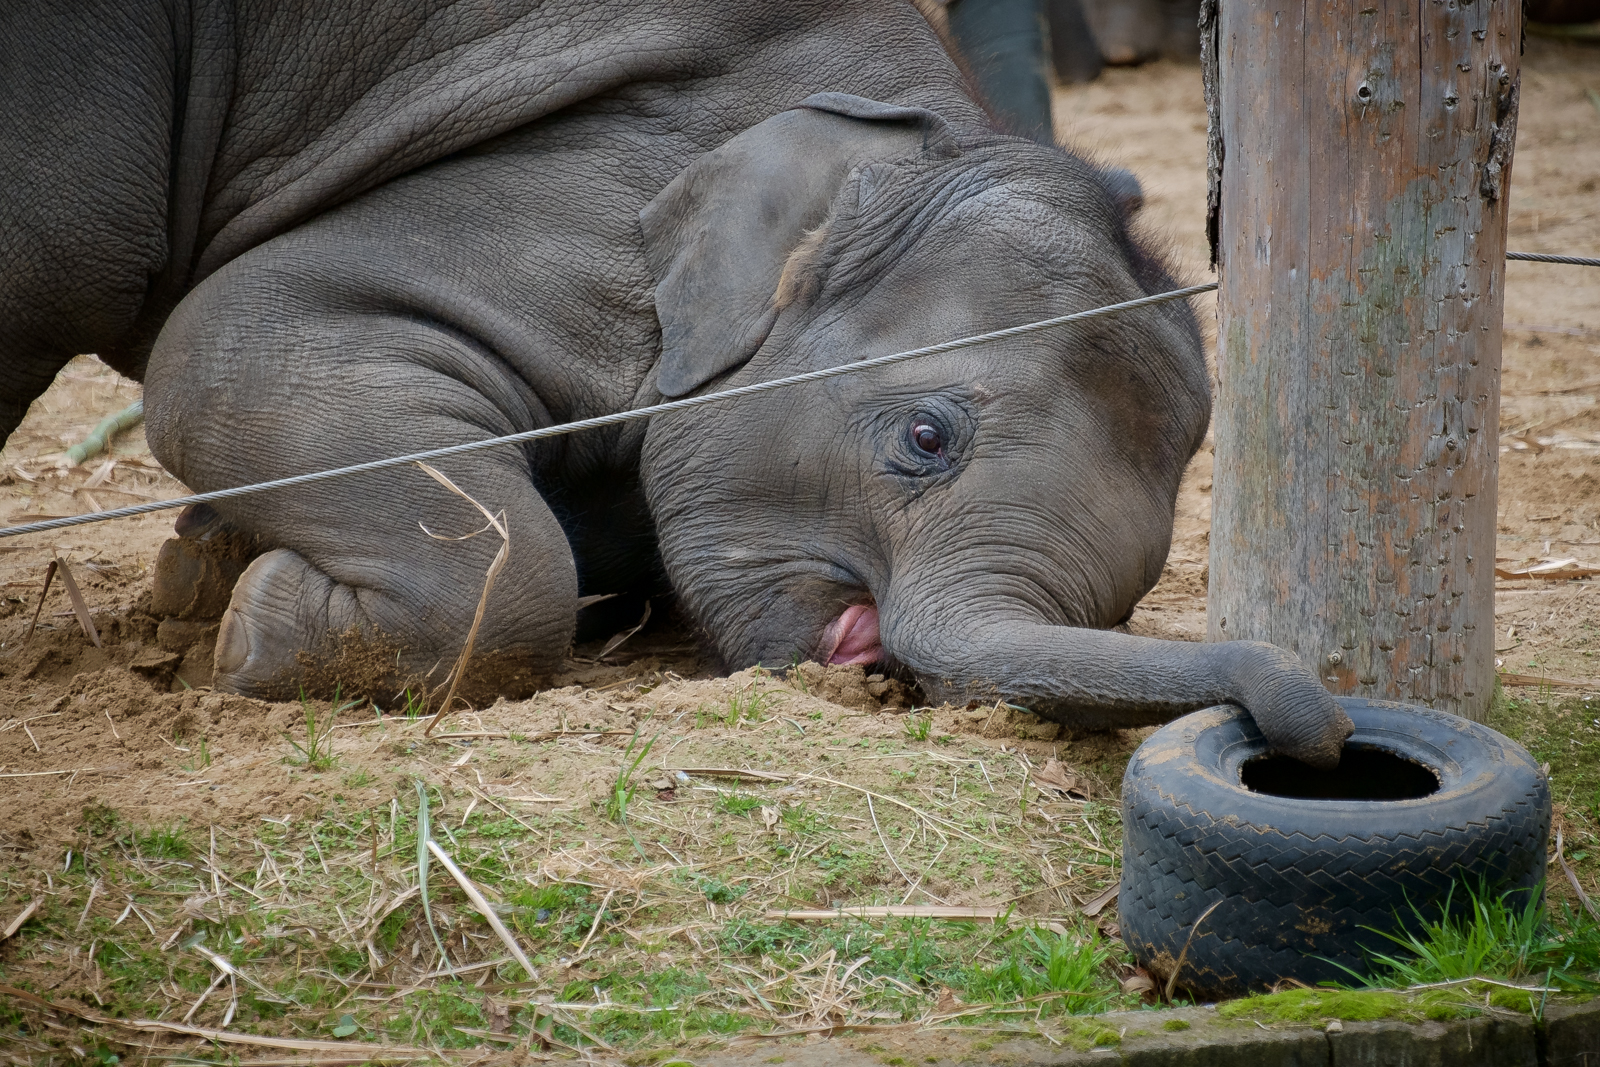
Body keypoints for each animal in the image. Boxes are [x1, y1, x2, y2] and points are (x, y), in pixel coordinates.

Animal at [2, 0, 1353, 767]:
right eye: (925, 437)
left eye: (1140, 583)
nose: (1321, 721)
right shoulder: (574, 206)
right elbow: (223, 346)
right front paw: (248, 629)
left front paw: (205, 583)